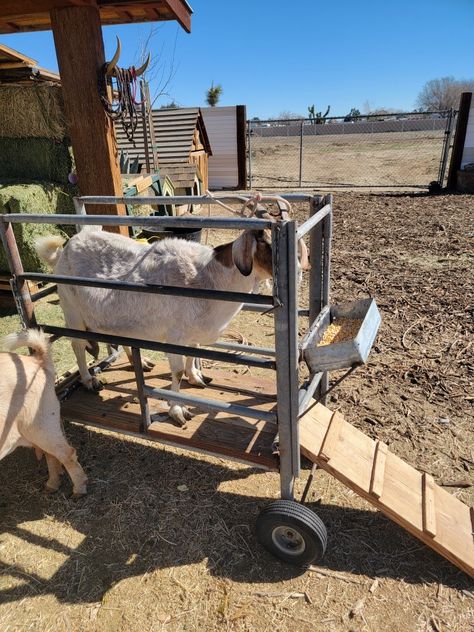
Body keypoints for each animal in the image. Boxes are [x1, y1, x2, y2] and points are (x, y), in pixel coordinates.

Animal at [0, 328, 87, 496]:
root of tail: (38, 360)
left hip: (39, 423)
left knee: (66, 453)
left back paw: (79, 490)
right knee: (52, 454)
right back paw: (51, 485)